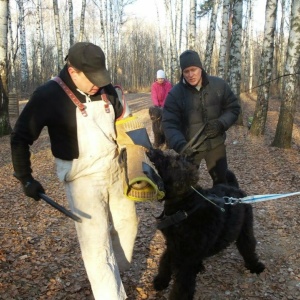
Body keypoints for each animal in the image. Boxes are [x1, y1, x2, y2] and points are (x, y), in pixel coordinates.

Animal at [146, 149, 264, 298]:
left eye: (169, 162)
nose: (153, 151)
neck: (185, 208)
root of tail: (234, 187)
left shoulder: (186, 261)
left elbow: (182, 287)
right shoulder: (173, 246)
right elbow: (164, 262)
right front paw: (161, 281)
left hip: (245, 228)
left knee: (248, 246)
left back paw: (255, 266)